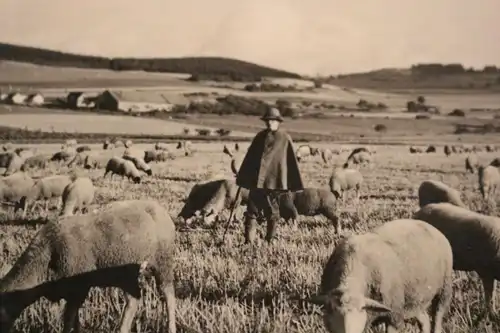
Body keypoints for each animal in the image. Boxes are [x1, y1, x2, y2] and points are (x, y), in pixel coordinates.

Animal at [0, 198, 178, 332]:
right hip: (126, 273)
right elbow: (74, 319)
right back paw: (123, 328)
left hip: (163, 262)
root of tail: (160, 209)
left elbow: (68, 319)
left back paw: (171, 327)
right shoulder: (72, 291)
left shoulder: (79, 288)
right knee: (133, 301)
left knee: (168, 295)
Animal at [306, 218, 456, 332]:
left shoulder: (395, 316)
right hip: (416, 297)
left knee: (438, 315)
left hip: (444, 288)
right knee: (424, 319)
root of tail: (430, 226)